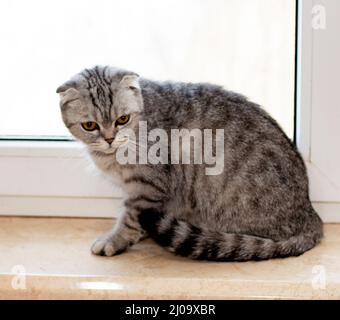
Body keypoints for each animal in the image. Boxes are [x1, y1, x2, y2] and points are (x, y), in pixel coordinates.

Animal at [57, 66, 322, 262]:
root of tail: (310, 214)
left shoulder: (147, 189)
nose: (110, 139)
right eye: (89, 125)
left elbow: (130, 219)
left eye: (122, 119)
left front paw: (116, 240)